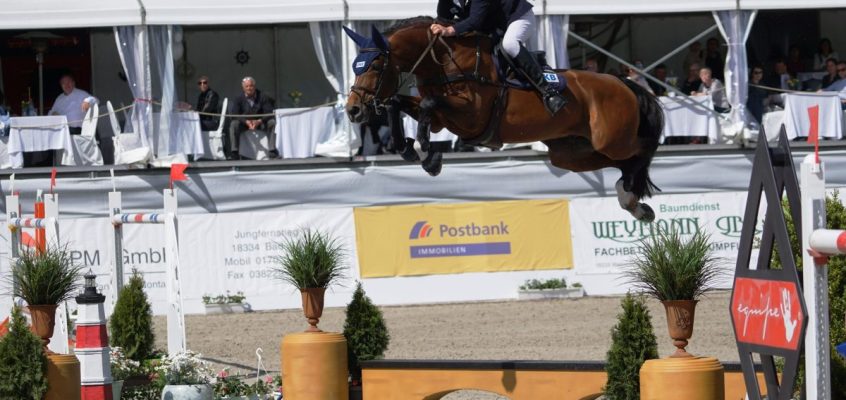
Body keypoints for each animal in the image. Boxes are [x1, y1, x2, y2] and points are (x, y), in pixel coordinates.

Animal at [344, 18, 664, 222]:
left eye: (375, 65)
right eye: (355, 66)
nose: (353, 110)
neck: (443, 60)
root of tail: (622, 82)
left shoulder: (470, 116)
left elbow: (427, 104)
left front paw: (427, 154)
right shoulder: (440, 120)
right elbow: (399, 104)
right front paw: (411, 149)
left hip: (611, 139)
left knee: (643, 149)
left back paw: (631, 197)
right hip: (571, 153)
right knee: (622, 162)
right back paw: (633, 201)